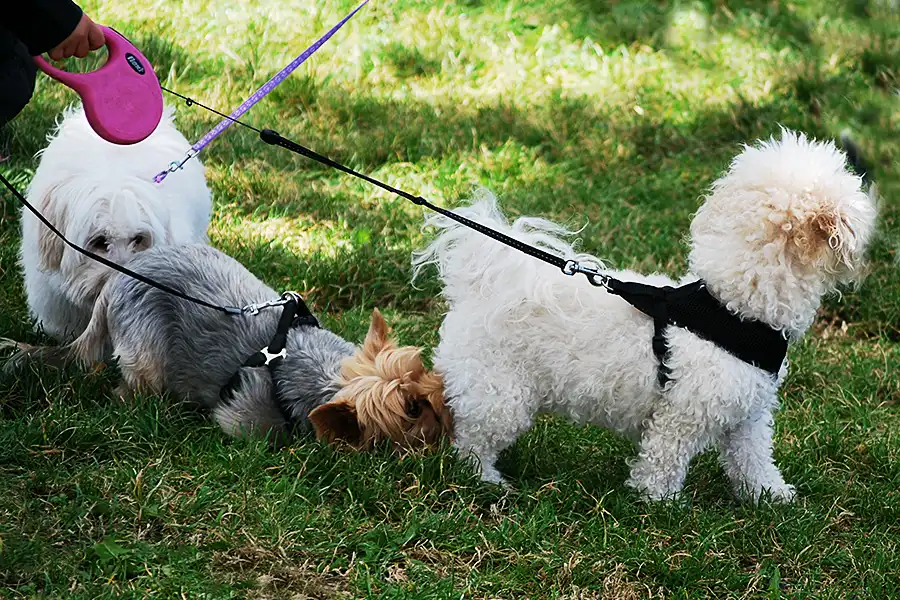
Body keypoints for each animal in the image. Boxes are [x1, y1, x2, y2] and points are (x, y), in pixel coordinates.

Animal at [4, 243, 451, 449]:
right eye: (411, 411)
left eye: (419, 370)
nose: (444, 398)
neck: (305, 365)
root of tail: (116, 280)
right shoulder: (244, 420)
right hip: (146, 357)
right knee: (132, 388)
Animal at [412, 128, 877, 503]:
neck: (735, 308)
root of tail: (479, 286)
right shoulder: (681, 417)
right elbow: (663, 462)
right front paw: (660, 505)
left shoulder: (748, 416)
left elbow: (753, 460)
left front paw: (772, 498)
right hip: (500, 392)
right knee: (473, 441)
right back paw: (485, 480)